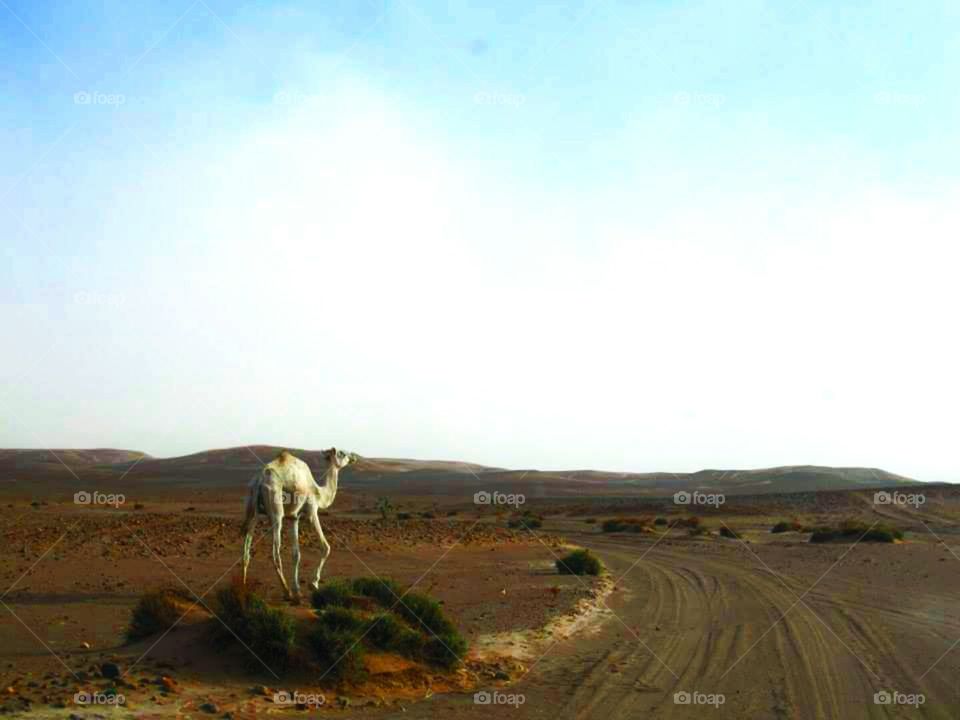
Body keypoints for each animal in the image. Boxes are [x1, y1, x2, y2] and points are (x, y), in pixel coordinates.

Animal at [241, 447, 358, 601]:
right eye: (342, 453)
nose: (354, 458)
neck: (319, 493)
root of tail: (259, 481)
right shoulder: (312, 512)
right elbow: (326, 547)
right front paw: (313, 584)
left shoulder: (294, 518)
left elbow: (296, 554)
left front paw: (298, 590)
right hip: (276, 511)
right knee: (275, 553)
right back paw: (287, 592)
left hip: (253, 509)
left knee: (246, 551)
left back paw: (242, 588)